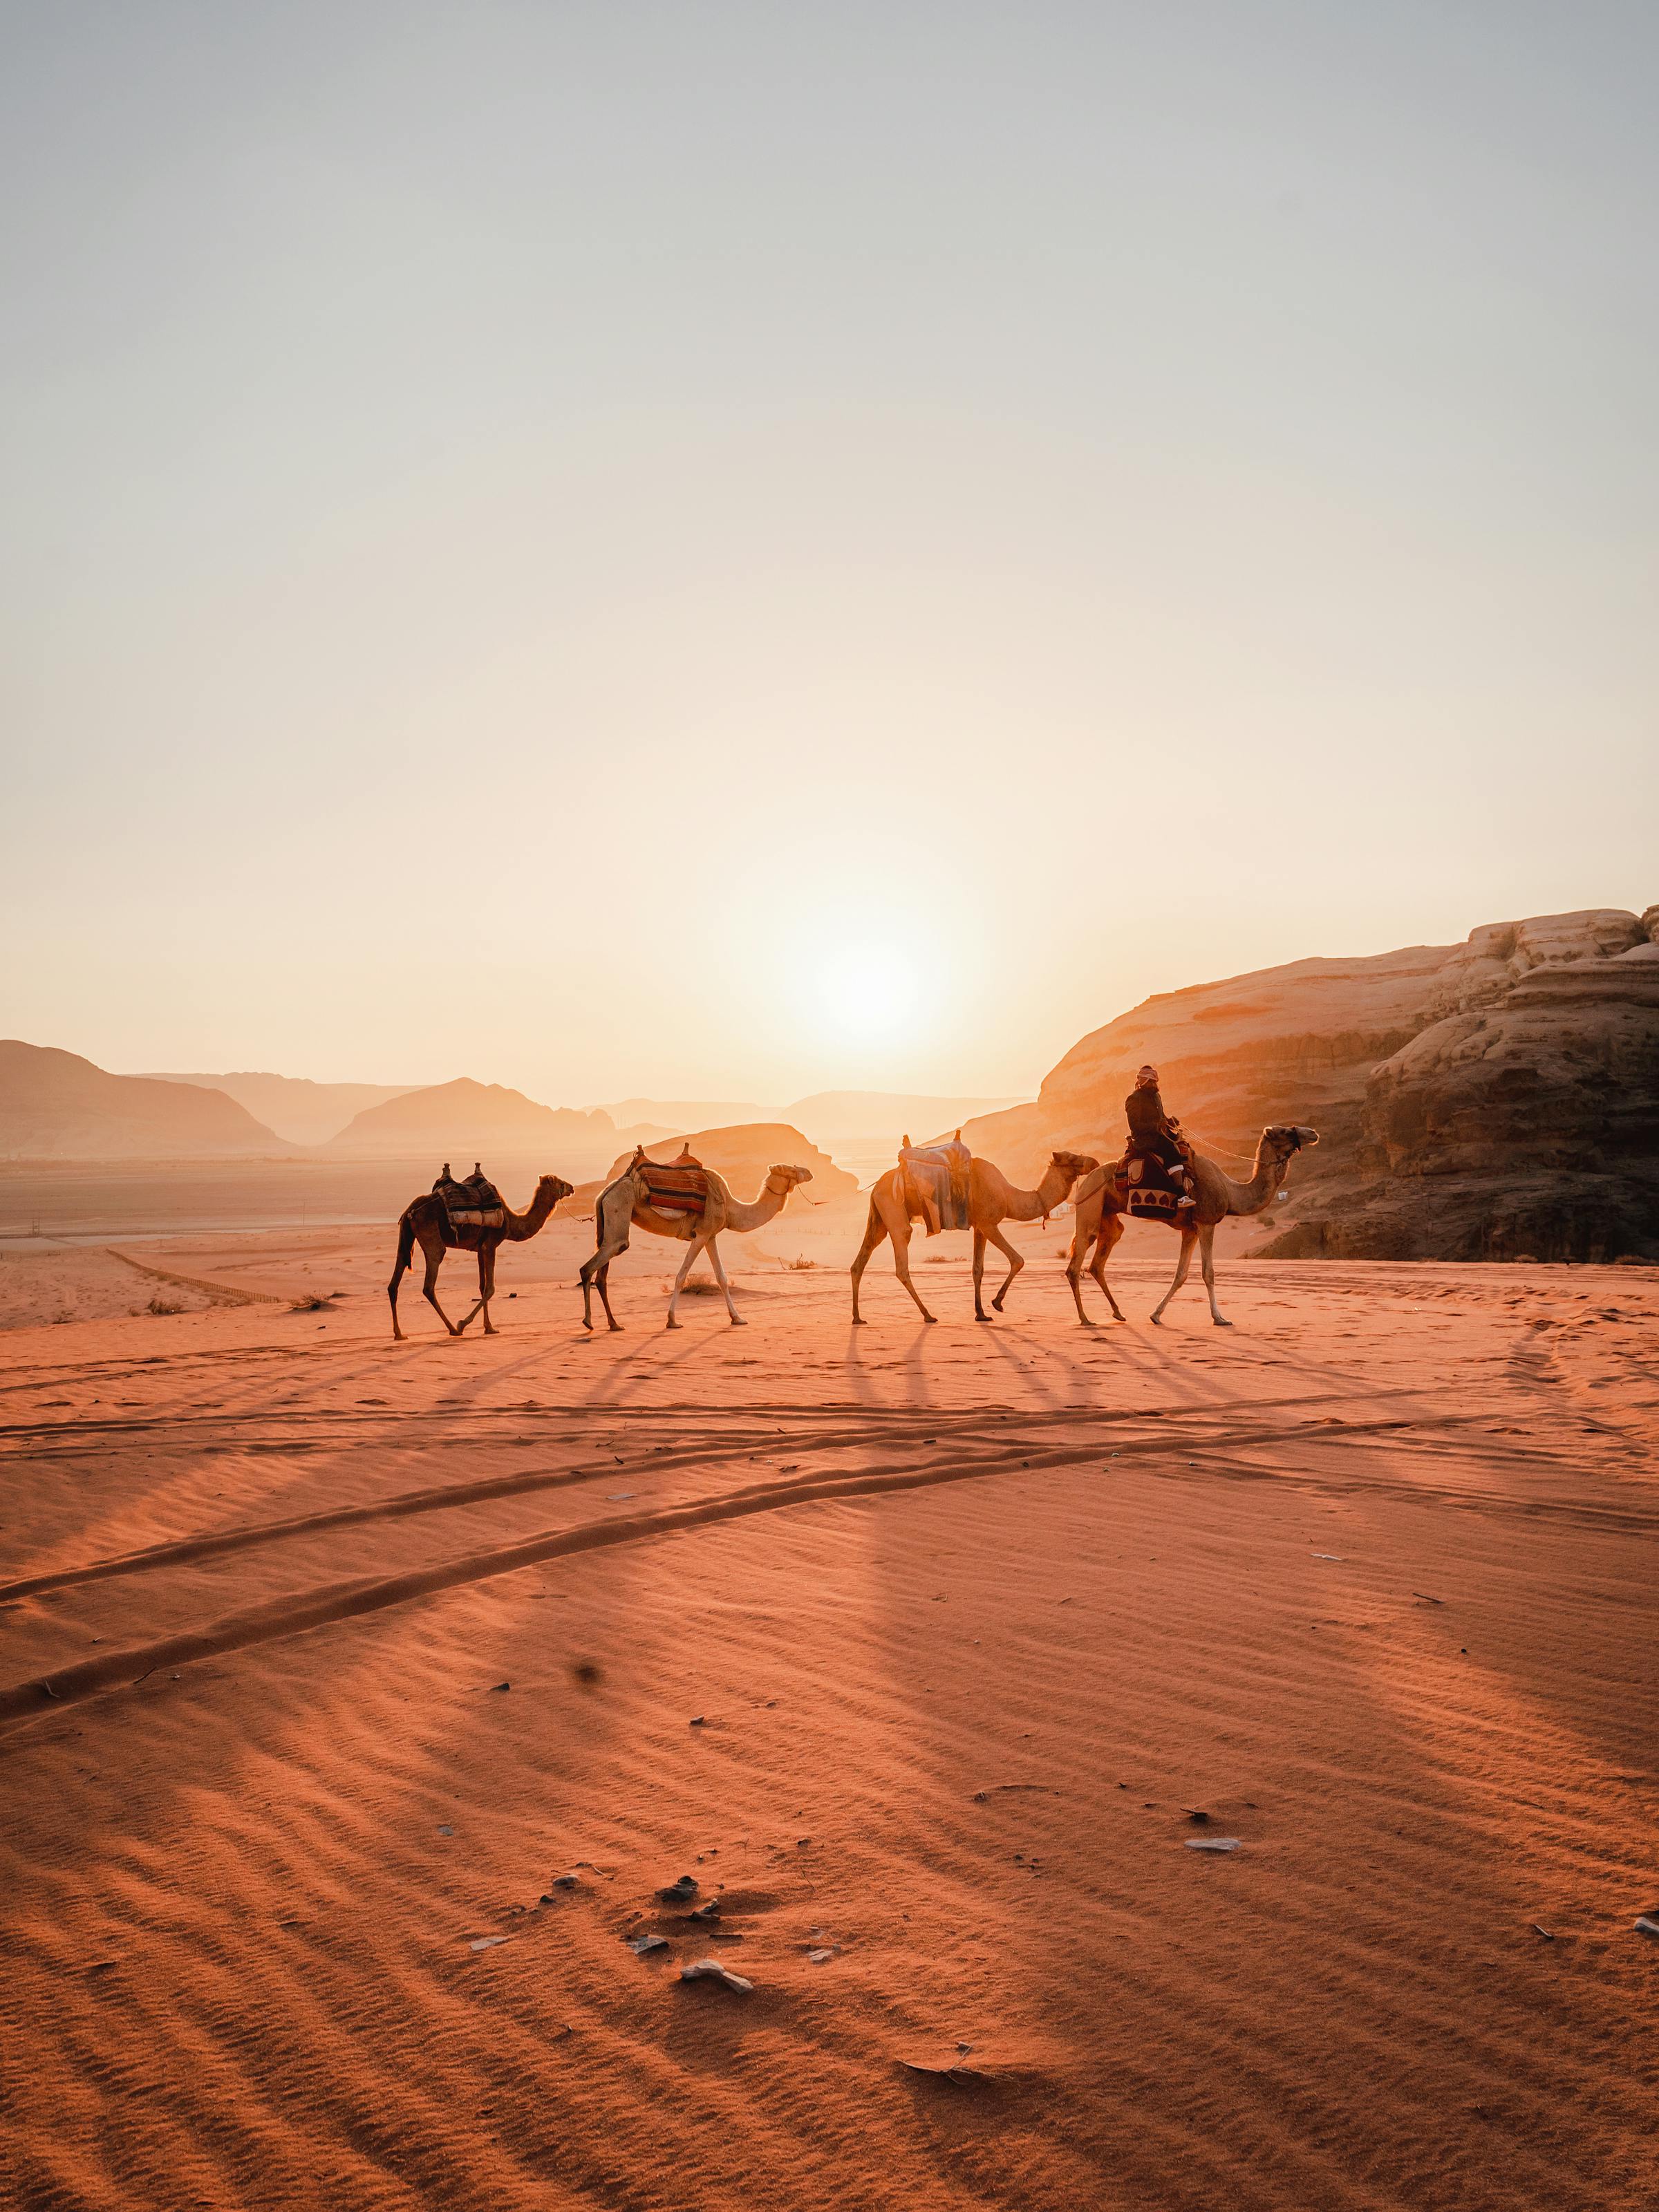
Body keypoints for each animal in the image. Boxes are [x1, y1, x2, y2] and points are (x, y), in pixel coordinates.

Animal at [387, 1173, 573, 1341]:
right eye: (561, 1183)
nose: (571, 1188)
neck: (511, 1222)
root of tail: (411, 1210)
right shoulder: (490, 1245)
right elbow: (490, 1288)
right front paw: (463, 1323)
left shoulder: (479, 1249)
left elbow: (482, 1287)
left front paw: (489, 1328)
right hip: (431, 1236)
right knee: (429, 1285)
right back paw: (453, 1329)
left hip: (406, 1237)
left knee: (394, 1282)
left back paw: (399, 1334)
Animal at [580, 1156, 815, 1331]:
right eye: (789, 1169)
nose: (810, 1172)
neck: (730, 1208)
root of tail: (605, 1192)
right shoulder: (701, 1234)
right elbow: (681, 1276)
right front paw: (672, 1321)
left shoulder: (711, 1236)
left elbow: (722, 1278)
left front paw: (737, 1318)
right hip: (619, 1210)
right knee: (591, 1266)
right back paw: (589, 1322)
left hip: (608, 1225)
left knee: (602, 1275)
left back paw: (614, 1324)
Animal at [850, 1150, 1101, 1323]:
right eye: (1072, 1157)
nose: (1095, 1162)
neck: (1009, 1197)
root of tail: (875, 1189)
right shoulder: (989, 1224)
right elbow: (1017, 1260)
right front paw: (997, 1303)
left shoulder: (979, 1227)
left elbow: (977, 1269)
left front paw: (981, 1313)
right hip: (895, 1211)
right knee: (902, 1262)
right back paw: (928, 1315)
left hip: (879, 1220)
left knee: (860, 1262)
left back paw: (857, 1317)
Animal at [1065, 1124, 1318, 1328]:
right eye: (1285, 1131)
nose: (1313, 1133)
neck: (1231, 1192)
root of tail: (1085, 1180)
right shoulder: (1206, 1223)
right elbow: (1209, 1273)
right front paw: (1220, 1318)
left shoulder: (1190, 1229)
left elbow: (1181, 1274)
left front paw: (1156, 1315)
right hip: (1090, 1205)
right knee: (1076, 1263)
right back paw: (1085, 1319)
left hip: (1108, 1215)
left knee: (1098, 1262)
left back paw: (1117, 1313)